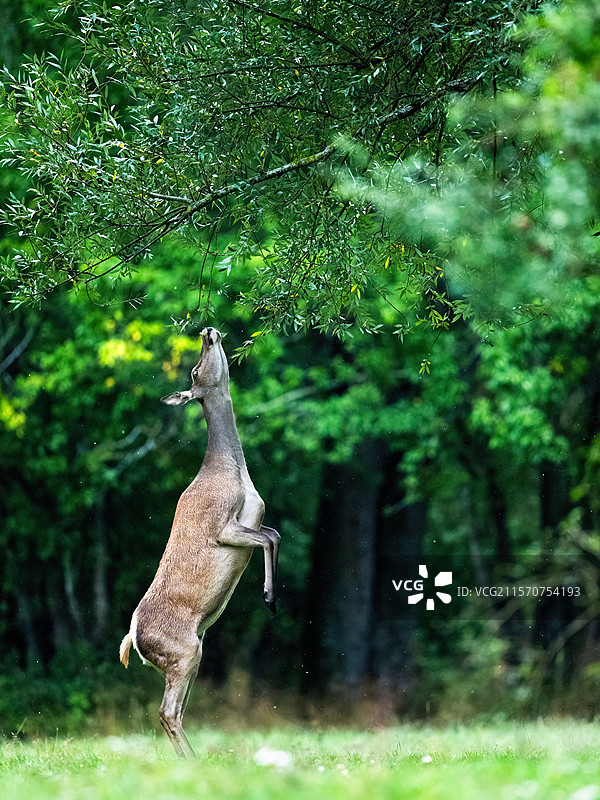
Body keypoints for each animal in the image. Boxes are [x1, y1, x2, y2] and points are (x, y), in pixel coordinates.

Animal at [119, 327, 280, 757]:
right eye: (194, 371)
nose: (208, 331)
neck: (234, 474)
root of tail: (132, 640)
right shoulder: (221, 526)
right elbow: (268, 539)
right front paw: (269, 597)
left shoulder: (253, 518)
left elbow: (272, 534)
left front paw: (271, 595)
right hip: (184, 651)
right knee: (166, 711)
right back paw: (193, 761)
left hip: (194, 652)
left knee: (174, 711)